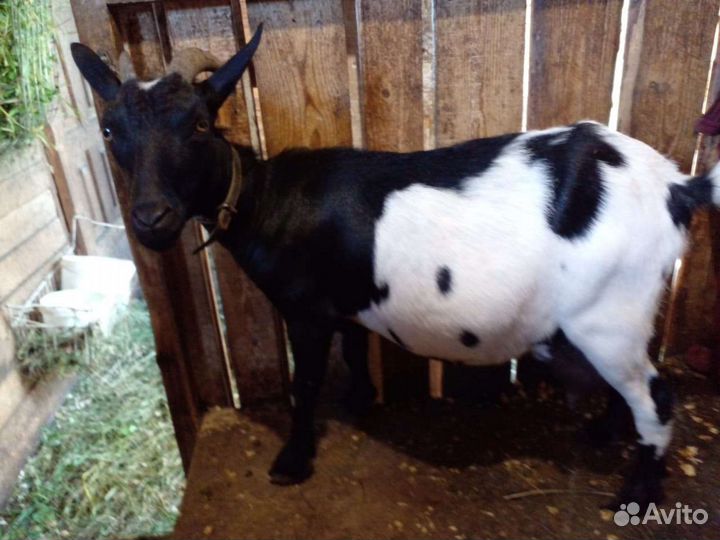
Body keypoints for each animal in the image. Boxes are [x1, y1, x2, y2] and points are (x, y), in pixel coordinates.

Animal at [71, 27, 719, 510]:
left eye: (200, 124)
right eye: (111, 129)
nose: (151, 219)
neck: (268, 199)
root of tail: (677, 187)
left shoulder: (305, 310)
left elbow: (305, 384)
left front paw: (292, 461)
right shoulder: (344, 300)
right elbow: (358, 349)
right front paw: (361, 400)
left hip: (607, 315)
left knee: (659, 395)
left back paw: (636, 492)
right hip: (623, 317)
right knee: (639, 378)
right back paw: (605, 432)